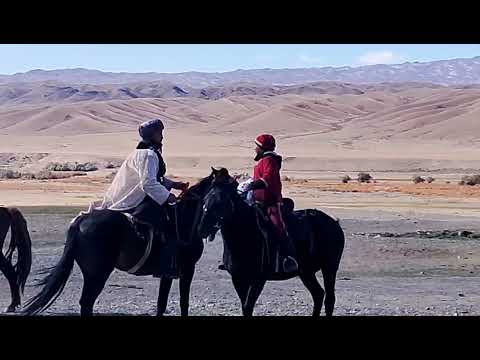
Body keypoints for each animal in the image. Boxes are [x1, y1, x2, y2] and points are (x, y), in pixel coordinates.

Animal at [22, 173, 216, 316]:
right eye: (218, 193)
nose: (209, 229)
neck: (184, 219)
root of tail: (80, 221)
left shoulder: (168, 273)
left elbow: (162, 303)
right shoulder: (187, 269)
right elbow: (183, 302)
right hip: (98, 273)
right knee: (87, 302)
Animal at [199, 167, 344, 316]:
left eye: (220, 201)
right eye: (205, 199)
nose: (202, 229)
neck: (245, 235)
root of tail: (334, 222)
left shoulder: (258, 279)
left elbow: (248, 306)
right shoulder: (238, 278)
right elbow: (245, 307)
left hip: (329, 268)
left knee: (329, 299)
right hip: (306, 272)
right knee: (318, 294)